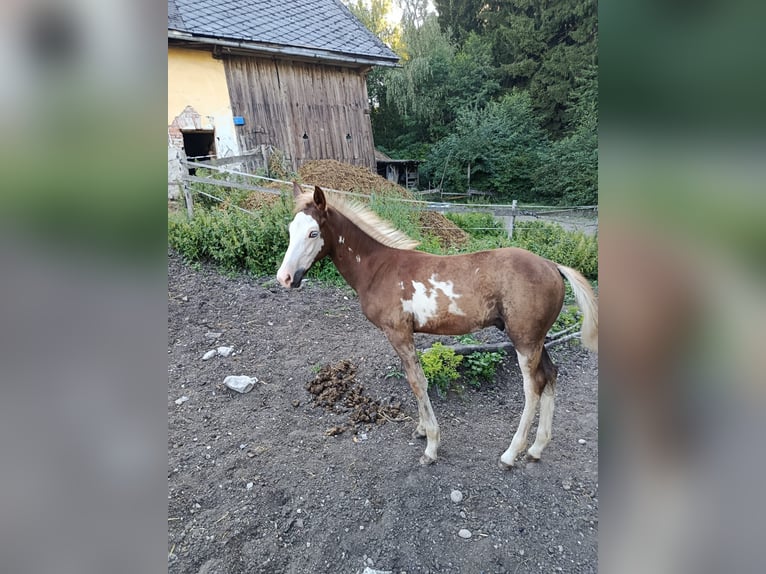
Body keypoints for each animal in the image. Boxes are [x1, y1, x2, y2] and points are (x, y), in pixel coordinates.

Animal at [277, 183, 598, 468]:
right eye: (290, 230)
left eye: (313, 232)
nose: (285, 278)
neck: (378, 268)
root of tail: (552, 266)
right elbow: (416, 379)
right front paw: (422, 430)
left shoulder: (399, 333)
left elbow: (417, 382)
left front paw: (431, 445)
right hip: (537, 338)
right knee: (551, 374)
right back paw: (537, 448)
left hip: (525, 341)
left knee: (533, 387)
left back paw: (510, 454)